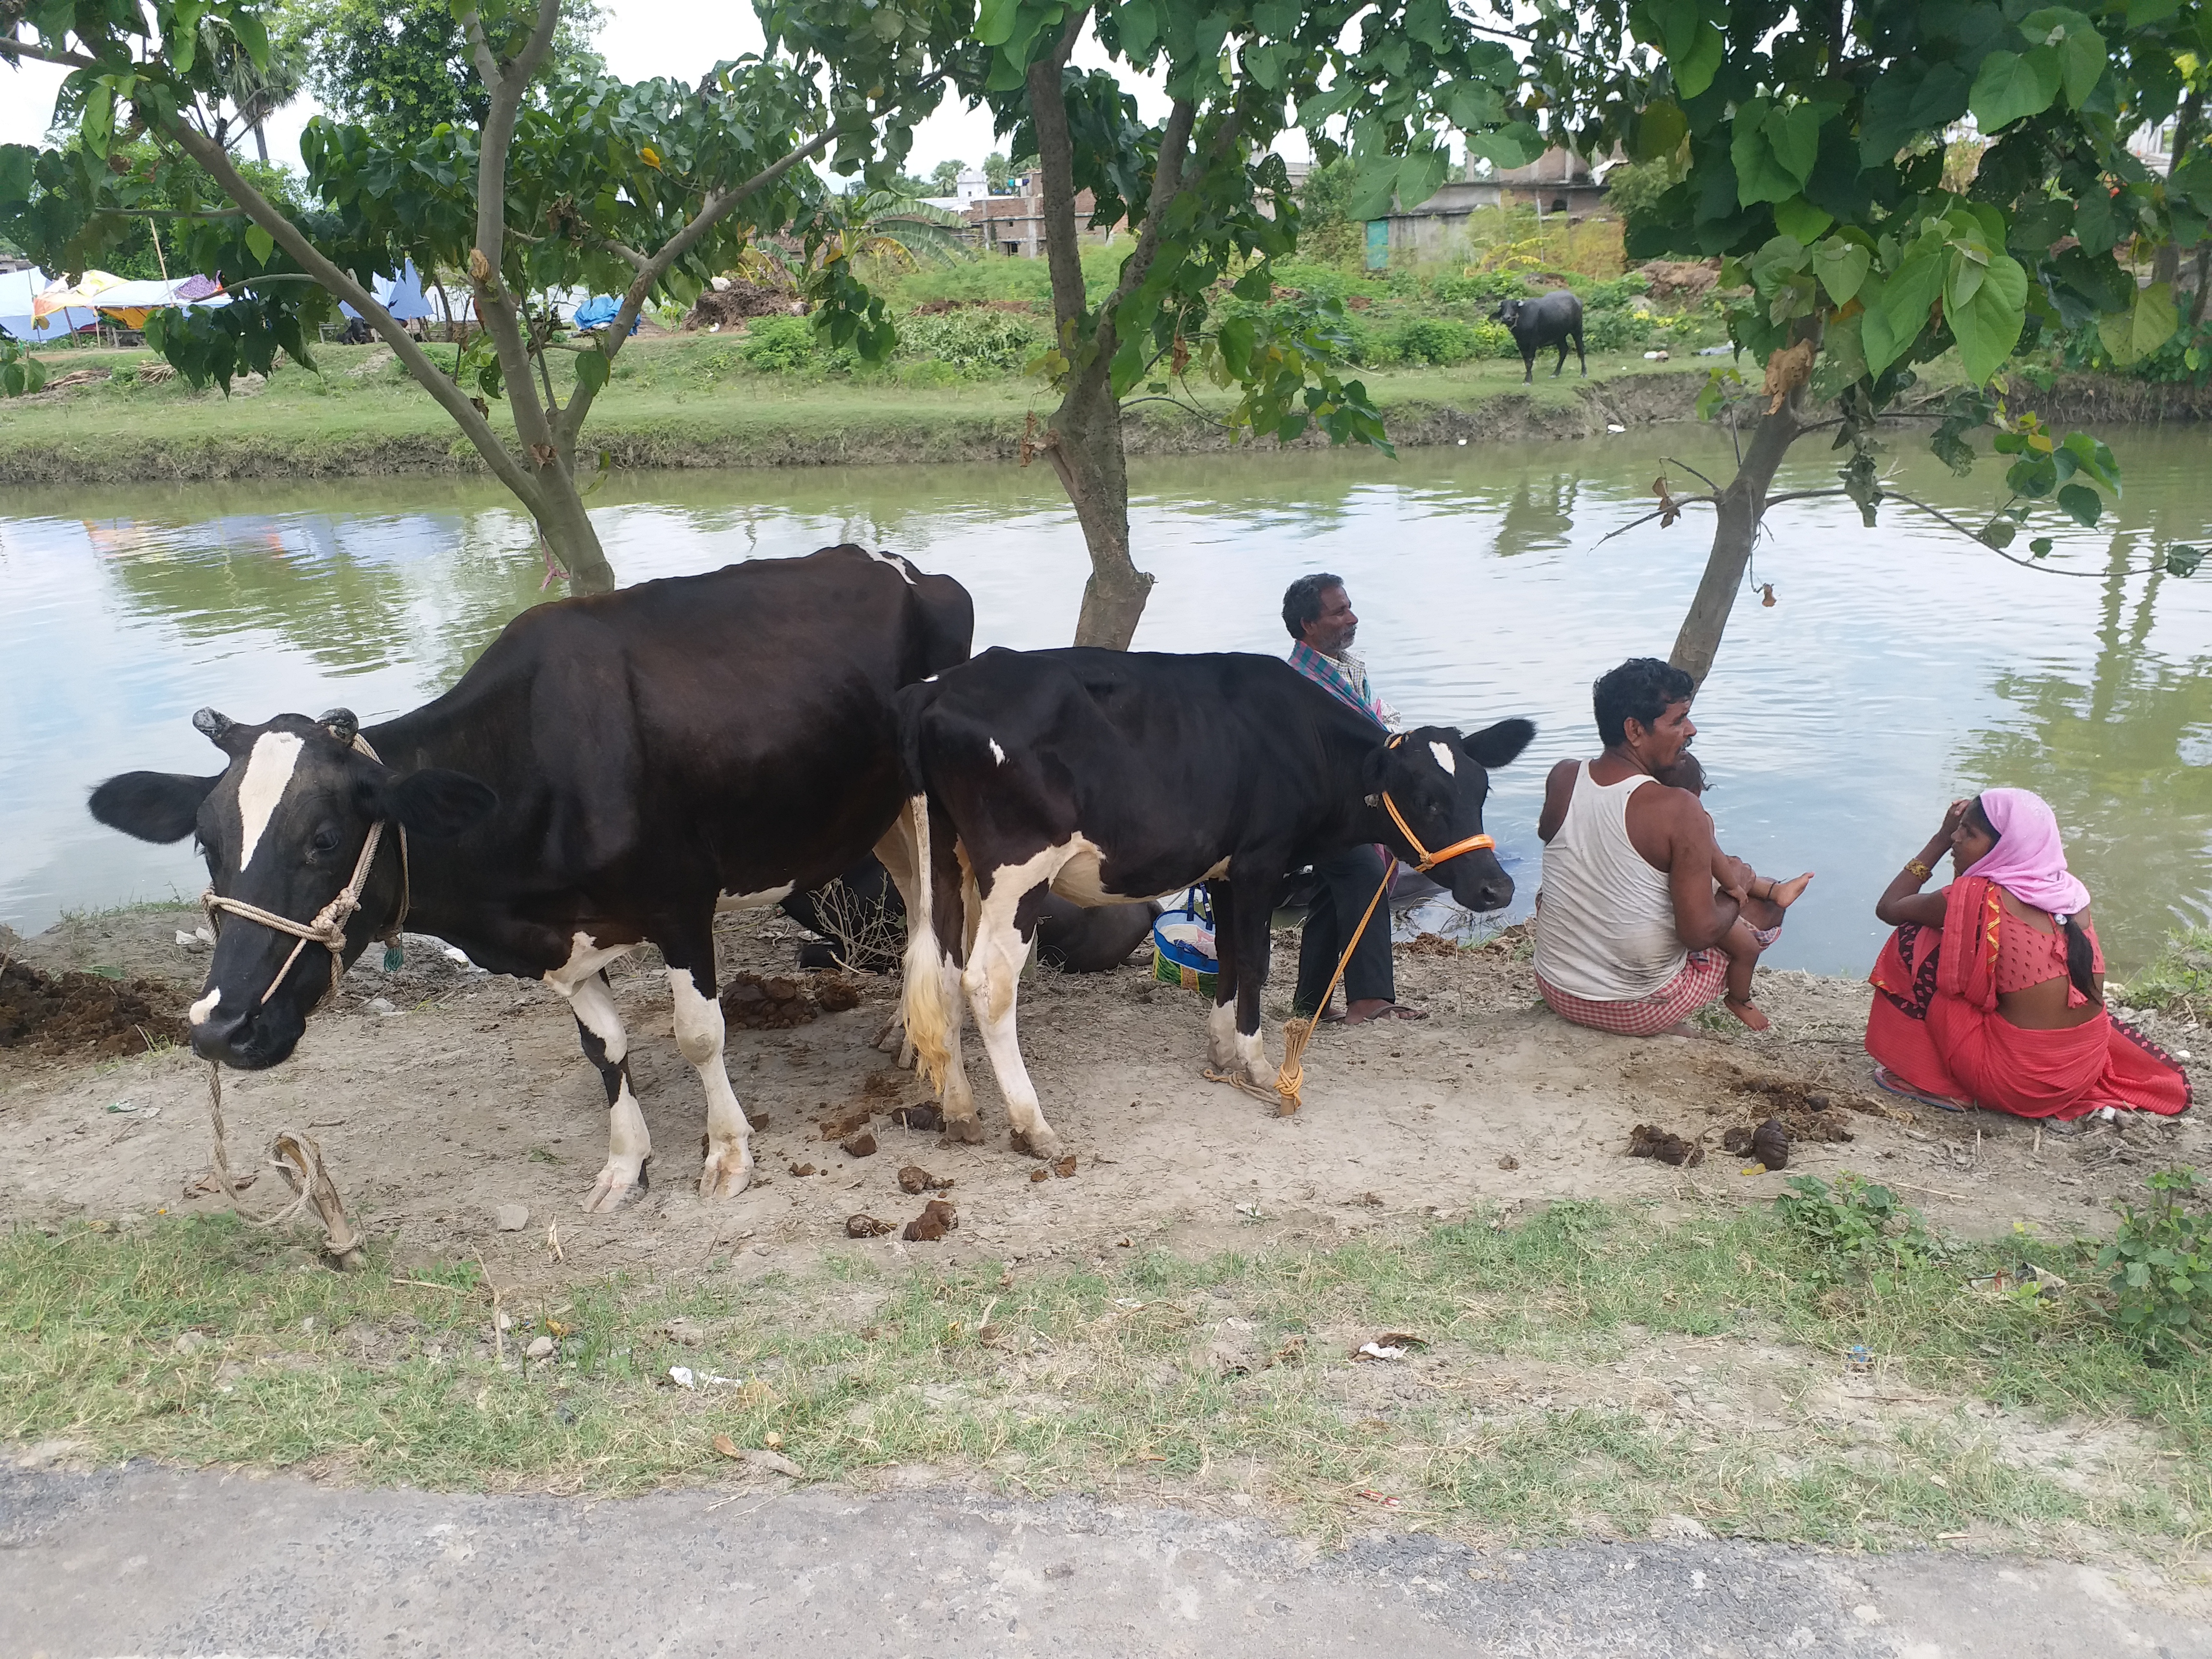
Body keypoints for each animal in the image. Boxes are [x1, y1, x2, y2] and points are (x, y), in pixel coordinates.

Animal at [88, 546, 969, 1212]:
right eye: (206, 842)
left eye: (325, 839)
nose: (218, 1028)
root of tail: (897, 565)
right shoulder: (560, 938)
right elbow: (603, 1046)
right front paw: (624, 1164)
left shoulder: (680, 903)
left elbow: (698, 1033)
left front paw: (726, 1153)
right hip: (874, 815)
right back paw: (900, 1029)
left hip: (925, 802)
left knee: (936, 911)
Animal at [889, 641, 1530, 1159]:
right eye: (1426, 799)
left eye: (1481, 790)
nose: (1497, 887)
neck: (1301, 738)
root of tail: (937, 687)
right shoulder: (1260, 861)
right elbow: (1255, 960)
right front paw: (1258, 1063)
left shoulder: (1222, 870)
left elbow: (1226, 956)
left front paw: (1221, 1051)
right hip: (1020, 871)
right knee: (987, 983)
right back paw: (1033, 1125)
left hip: (944, 855)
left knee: (942, 976)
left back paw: (961, 1112)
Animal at [1495, 292, 1584, 387]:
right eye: (1503, 307)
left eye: (1514, 306)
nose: (1506, 318)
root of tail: (1577, 301)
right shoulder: (1521, 343)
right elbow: (1526, 361)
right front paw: (1526, 379)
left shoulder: (1533, 343)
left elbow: (1530, 360)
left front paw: (1528, 380)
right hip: (1560, 336)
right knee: (1564, 350)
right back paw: (1555, 374)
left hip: (1577, 330)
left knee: (1581, 349)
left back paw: (1583, 373)